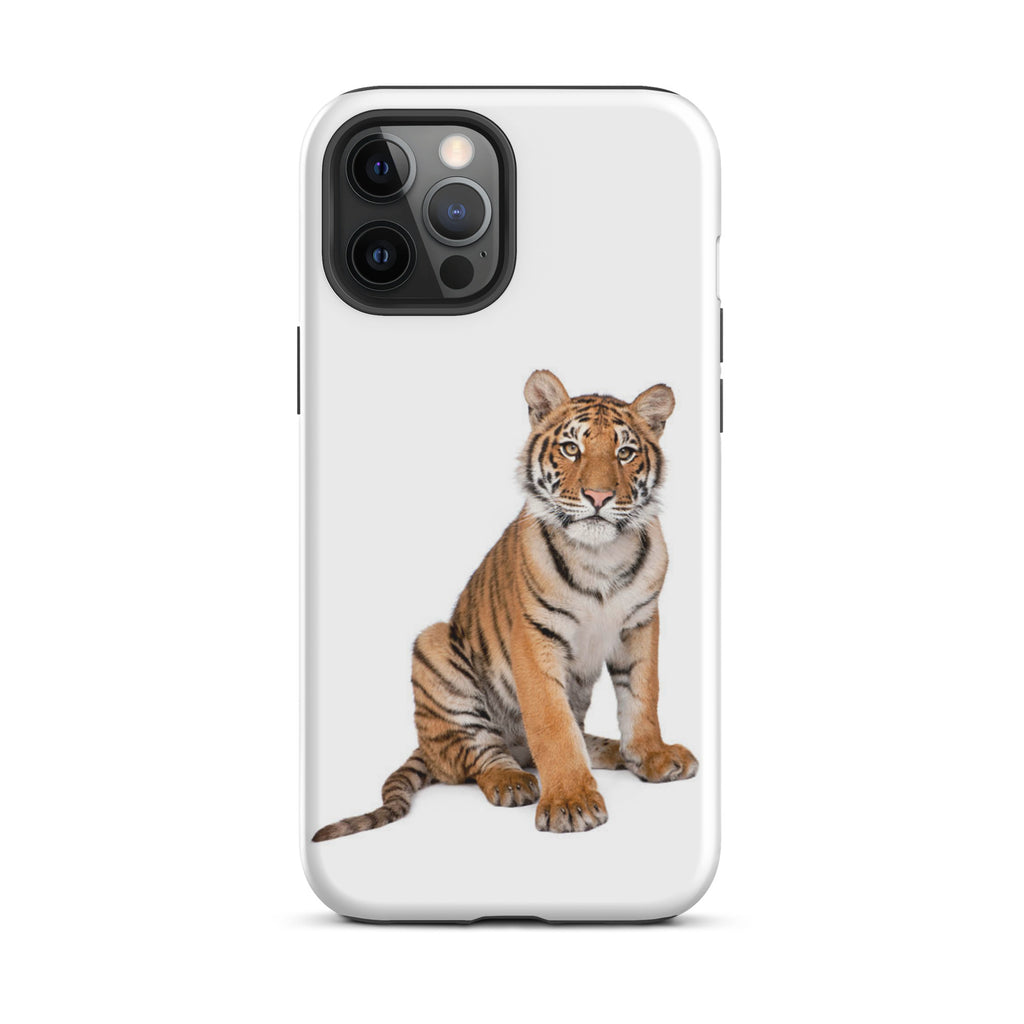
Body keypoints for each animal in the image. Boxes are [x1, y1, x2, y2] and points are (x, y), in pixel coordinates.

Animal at [312, 369, 698, 839]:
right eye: (572, 448)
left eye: (625, 453)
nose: (598, 496)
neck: (600, 555)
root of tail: (424, 746)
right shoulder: (534, 636)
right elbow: (551, 724)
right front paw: (571, 801)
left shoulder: (640, 624)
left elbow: (642, 697)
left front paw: (651, 756)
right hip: (434, 648)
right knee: (478, 756)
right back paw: (512, 781)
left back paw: (611, 751)